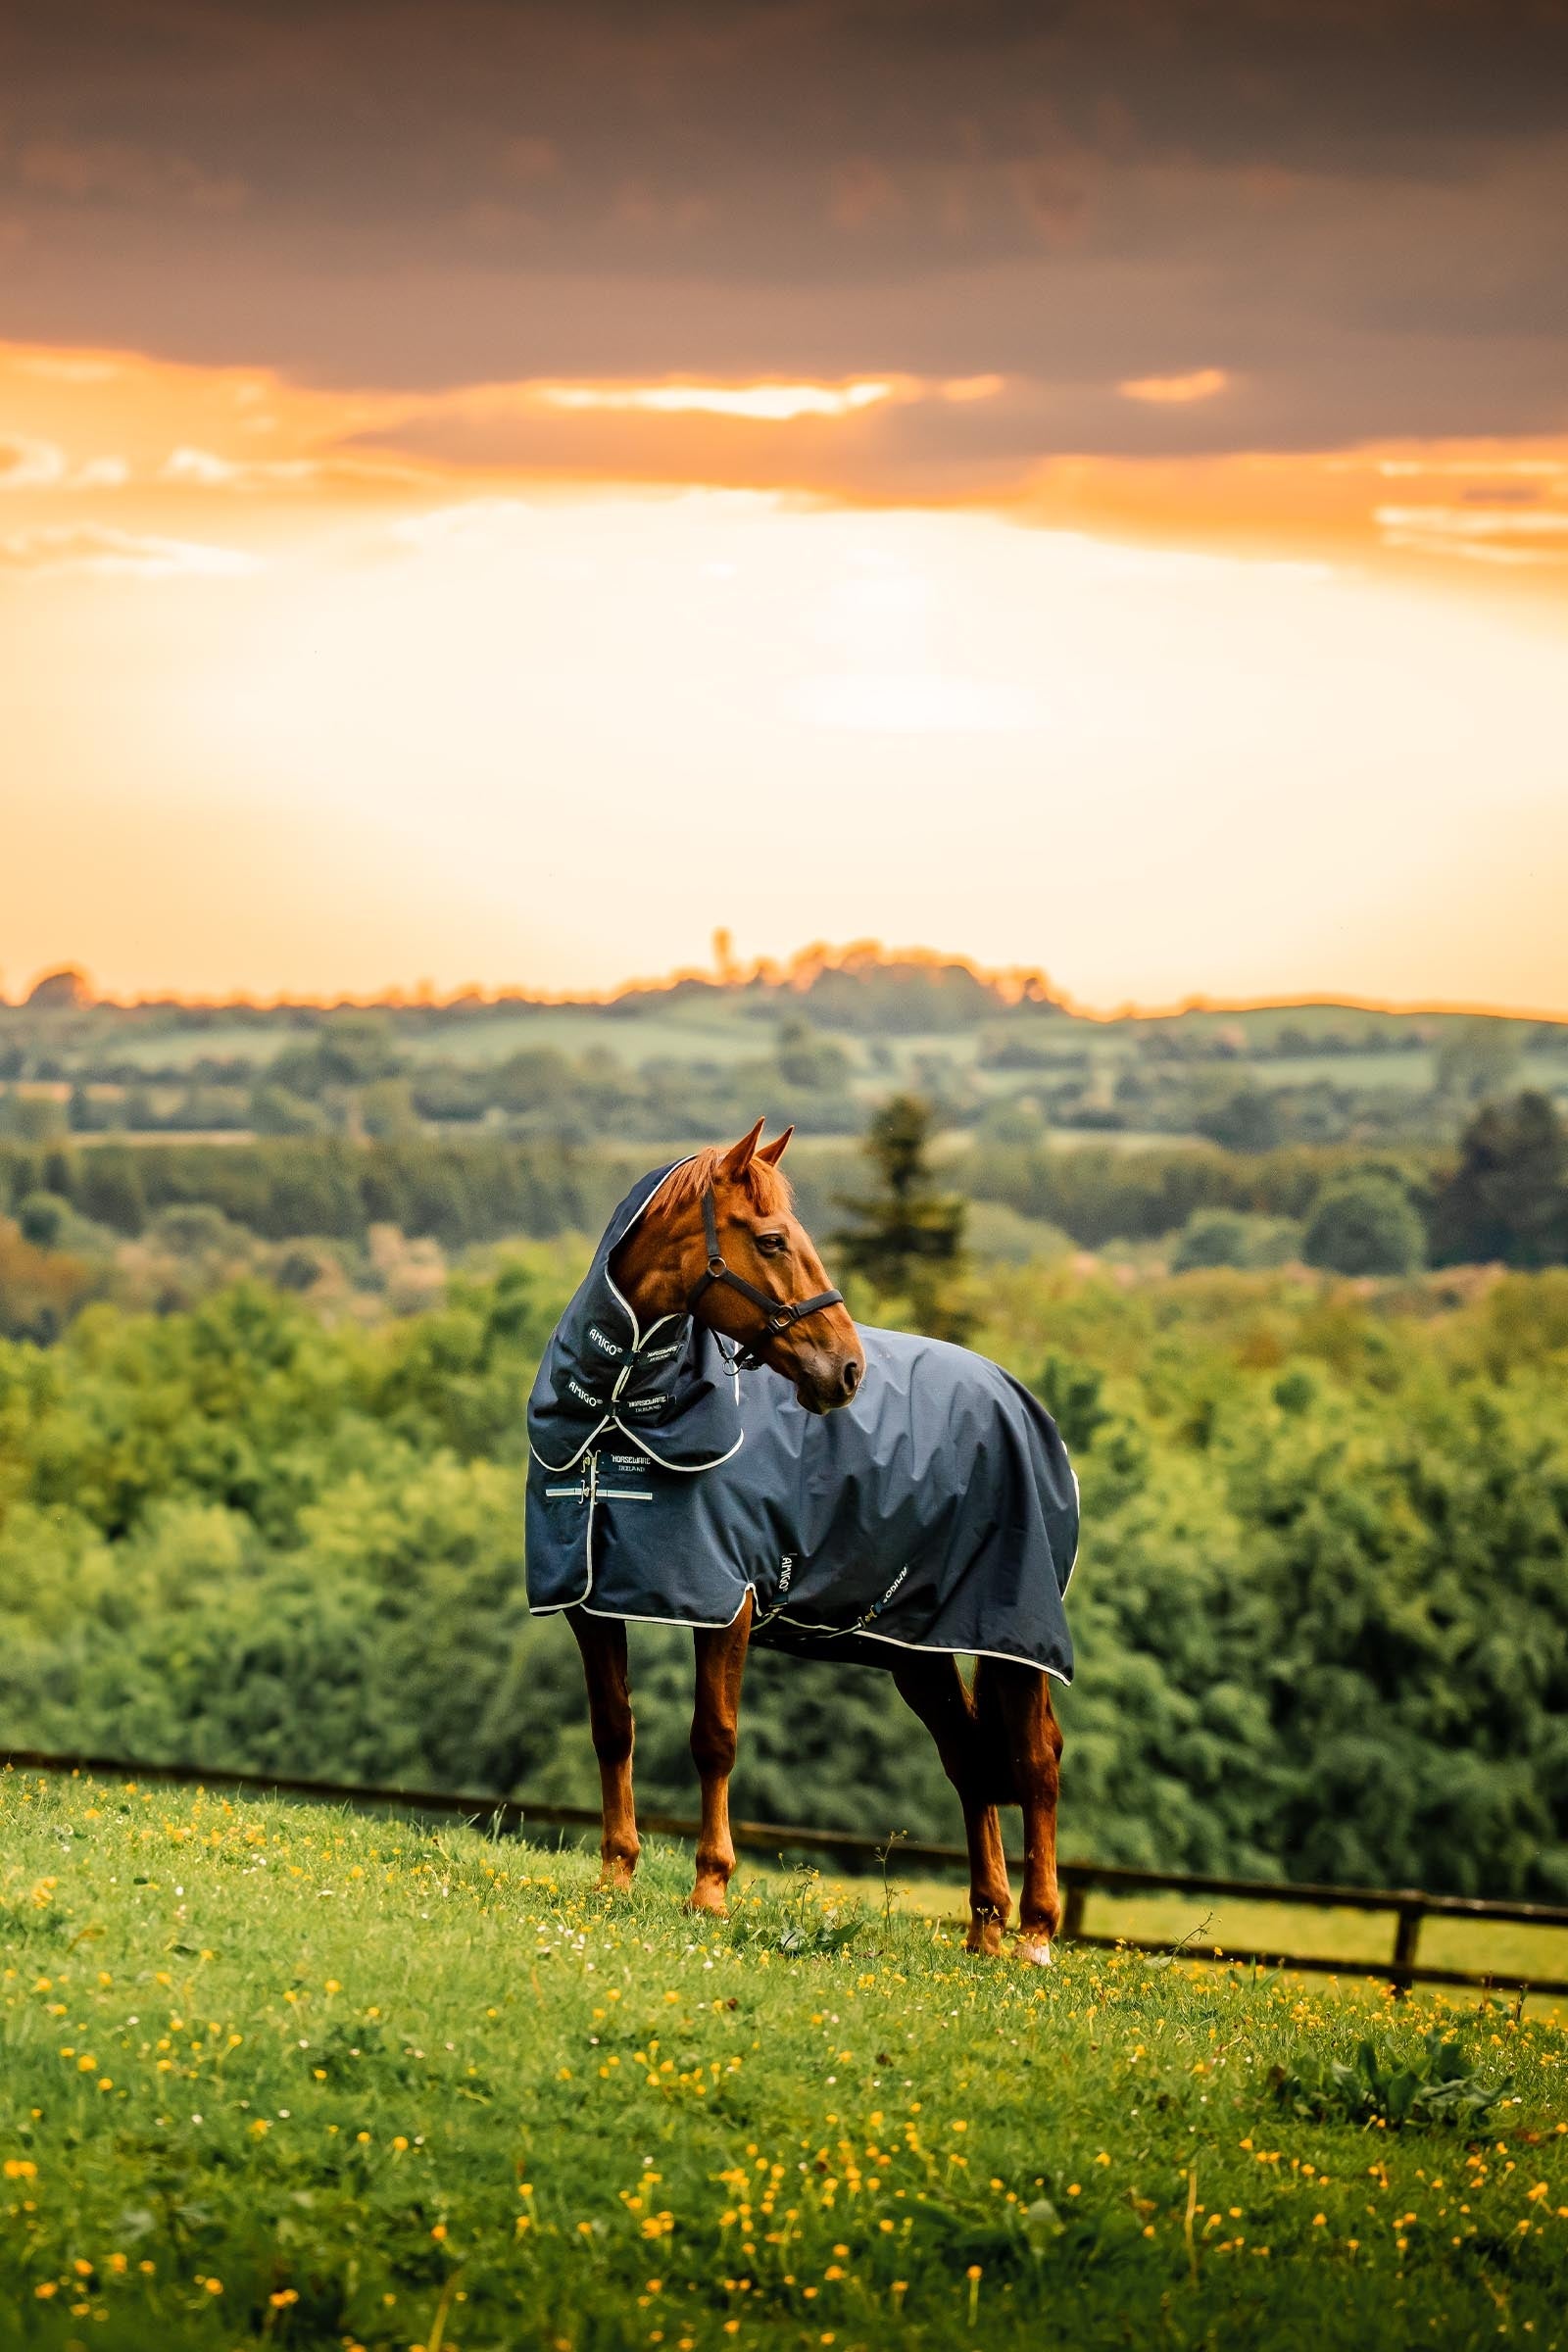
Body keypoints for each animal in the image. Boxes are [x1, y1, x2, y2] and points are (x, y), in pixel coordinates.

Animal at [525, 1118, 1076, 1963]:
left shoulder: (727, 1604)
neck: (620, 1411)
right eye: (774, 1239)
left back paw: (1036, 1936)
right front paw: (615, 1873)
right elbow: (613, 1729)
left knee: (1036, 1762)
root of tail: (1018, 1398)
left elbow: (713, 1738)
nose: (846, 1370)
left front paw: (710, 1890)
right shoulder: (591, 1602)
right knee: (969, 1760)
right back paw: (985, 1929)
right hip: (917, 1647)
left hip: (1016, 1637)